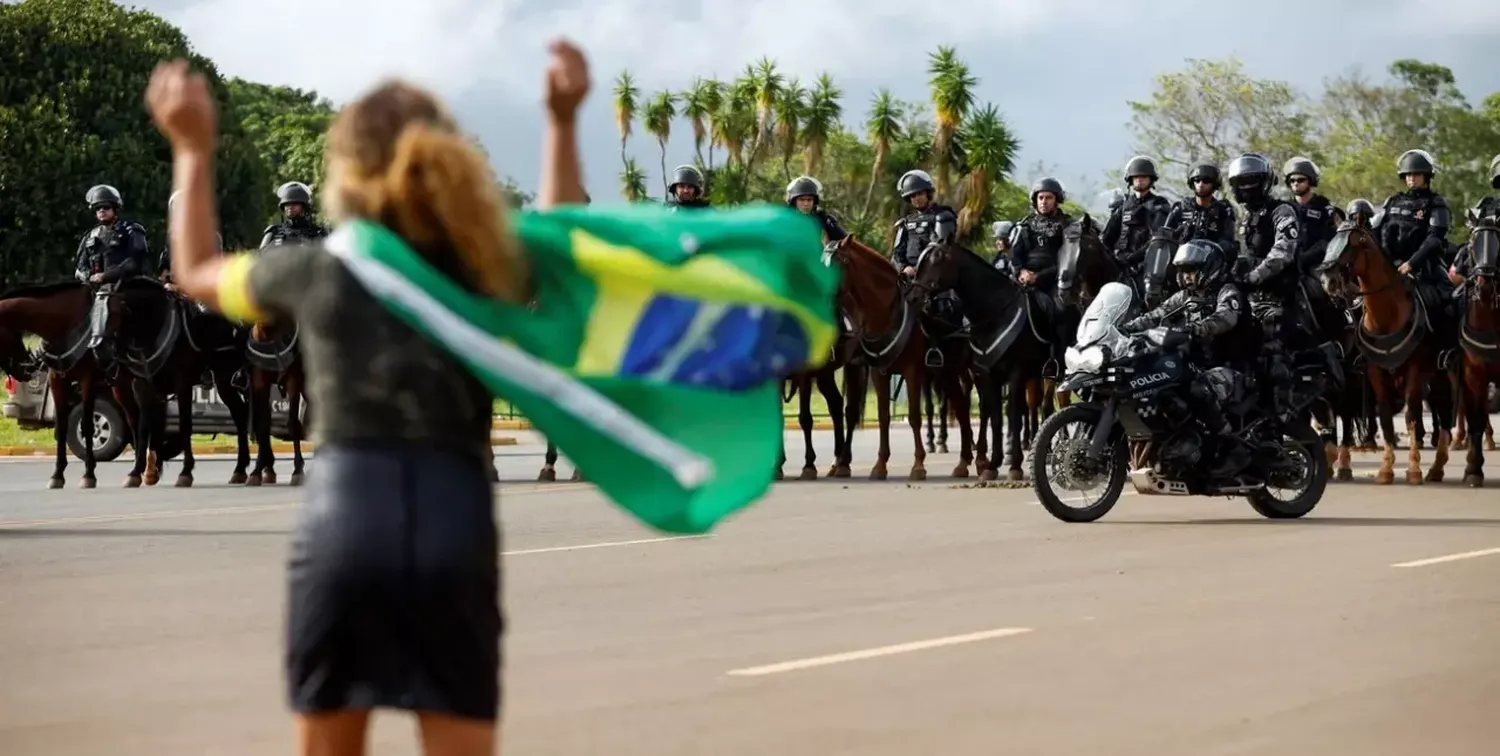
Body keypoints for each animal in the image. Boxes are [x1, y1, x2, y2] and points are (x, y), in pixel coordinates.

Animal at [834, 237, 972, 477]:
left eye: (838, 262)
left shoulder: (913, 372)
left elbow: (915, 416)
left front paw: (918, 465)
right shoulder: (878, 372)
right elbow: (882, 416)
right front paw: (880, 465)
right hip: (947, 374)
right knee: (961, 407)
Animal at [1320, 225, 1458, 483]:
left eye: (1353, 244)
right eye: (1332, 239)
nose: (1328, 281)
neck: (1386, 316)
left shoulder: (1413, 370)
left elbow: (1411, 414)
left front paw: (1413, 469)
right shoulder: (1375, 372)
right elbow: (1384, 415)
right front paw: (1385, 469)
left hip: (1444, 372)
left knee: (1444, 410)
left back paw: (1438, 465)